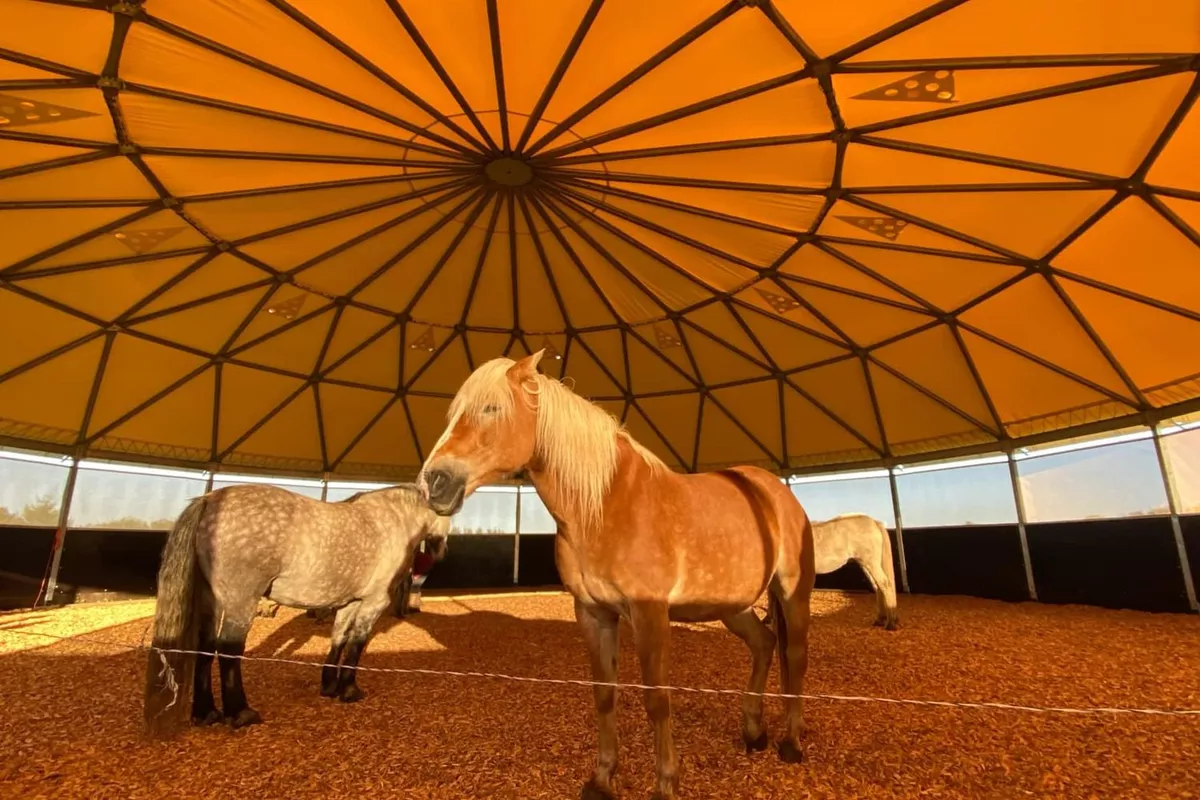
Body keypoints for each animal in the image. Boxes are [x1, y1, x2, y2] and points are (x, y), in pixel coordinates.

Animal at [143, 483, 450, 739]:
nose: (440, 551)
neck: (395, 518)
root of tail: (210, 500)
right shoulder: (374, 602)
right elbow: (356, 645)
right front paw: (350, 690)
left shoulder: (350, 602)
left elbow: (339, 638)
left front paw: (330, 687)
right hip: (241, 600)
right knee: (229, 650)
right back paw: (241, 712)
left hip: (212, 600)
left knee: (205, 649)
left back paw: (206, 713)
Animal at [416, 351, 816, 800]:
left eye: (491, 408)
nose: (434, 482)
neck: (607, 505)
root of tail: (775, 492)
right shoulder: (594, 614)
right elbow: (604, 695)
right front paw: (602, 778)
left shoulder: (649, 614)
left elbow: (657, 700)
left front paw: (665, 784)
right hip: (732, 606)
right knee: (764, 644)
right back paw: (753, 733)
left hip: (793, 594)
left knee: (795, 656)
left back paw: (790, 742)